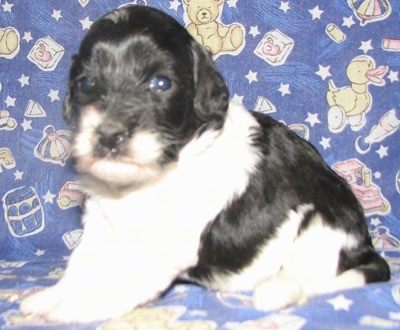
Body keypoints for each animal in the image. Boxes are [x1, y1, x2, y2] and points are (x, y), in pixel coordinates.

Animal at [20, 5, 390, 324]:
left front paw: (78, 307)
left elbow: (122, 281)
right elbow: (80, 264)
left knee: (314, 276)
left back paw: (275, 290)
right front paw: (52, 296)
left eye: (160, 83)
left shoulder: (162, 246)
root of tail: (365, 247)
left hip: (324, 221)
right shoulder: (101, 223)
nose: (109, 136)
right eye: (86, 83)